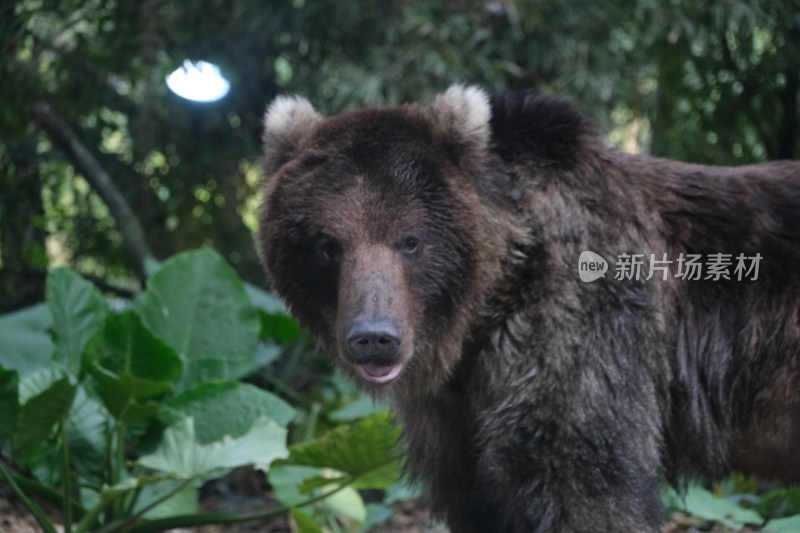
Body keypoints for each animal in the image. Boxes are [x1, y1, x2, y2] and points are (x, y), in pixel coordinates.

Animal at [258, 85, 800, 528]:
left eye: (409, 242)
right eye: (328, 246)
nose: (375, 337)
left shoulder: (581, 331)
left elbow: (586, 483)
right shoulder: (457, 424)